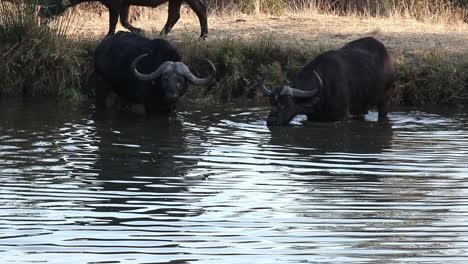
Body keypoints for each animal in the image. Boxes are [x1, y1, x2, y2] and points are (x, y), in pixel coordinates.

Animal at [260, 36, 394, 126]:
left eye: (285, 104)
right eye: (271, 102)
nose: (270, 121)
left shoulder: (342, 117)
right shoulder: (312, 117)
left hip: (385, 100)